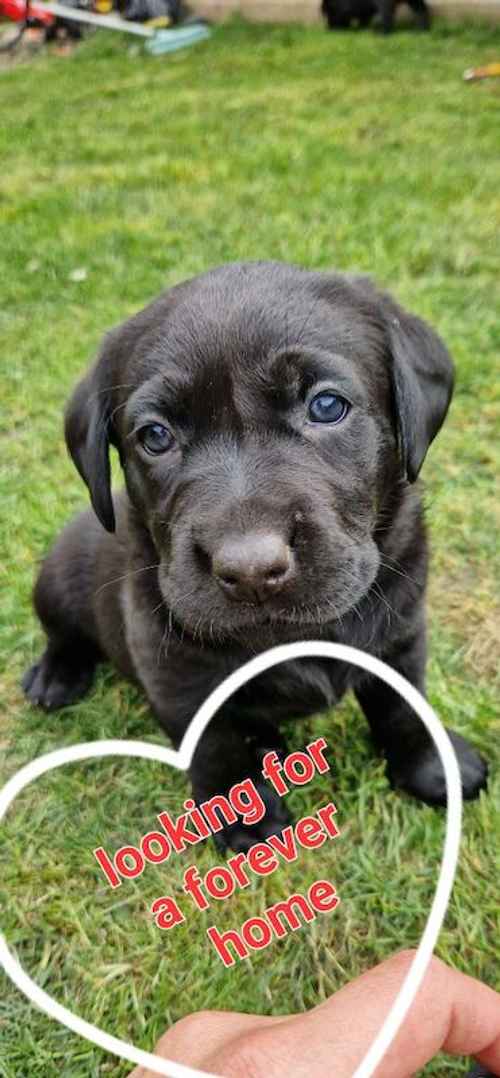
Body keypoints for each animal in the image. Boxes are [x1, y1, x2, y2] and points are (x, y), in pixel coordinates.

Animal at [24, 260, 489, 849]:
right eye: (155, 436)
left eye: (327, 406)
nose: (249, 570)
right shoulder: (178, 673)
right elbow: (212, 746)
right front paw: (242, 818)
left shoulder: (402, 632)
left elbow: (407, 706)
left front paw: (433, 766)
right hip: (57, 577)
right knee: (62, 633)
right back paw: (55, 676)